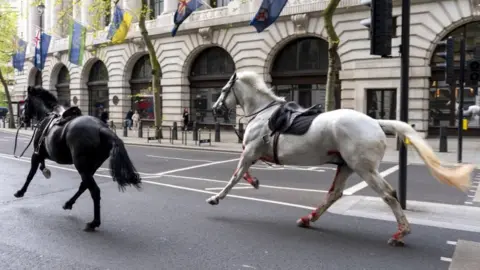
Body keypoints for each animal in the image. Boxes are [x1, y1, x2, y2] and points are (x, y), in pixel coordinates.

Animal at [16, 86, 141, 232]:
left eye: (25, 102)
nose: (22, 118)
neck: (47, 115)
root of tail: (102, 128)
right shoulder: (42, 154)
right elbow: (40, 167)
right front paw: (45, 171)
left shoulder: (36, 154)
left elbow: (30, 175)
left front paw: (20, 192)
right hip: (91, 166)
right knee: (84, 185)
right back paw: (69, 204)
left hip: (81, 165)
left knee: (94, 190)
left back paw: (94, 222)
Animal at [206, 71, 476, 247]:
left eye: (223, 90)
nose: (215, 109)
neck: (265, 114)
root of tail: (376, 123)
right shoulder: (254, 153)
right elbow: (244, 172)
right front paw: (254, 182)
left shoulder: (250, 151)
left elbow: (235, 175)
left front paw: (216, 198)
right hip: (346, 166)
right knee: (335, 194)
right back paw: (308, 218)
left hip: (364, 168)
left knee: (388, 194)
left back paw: (400, 234)